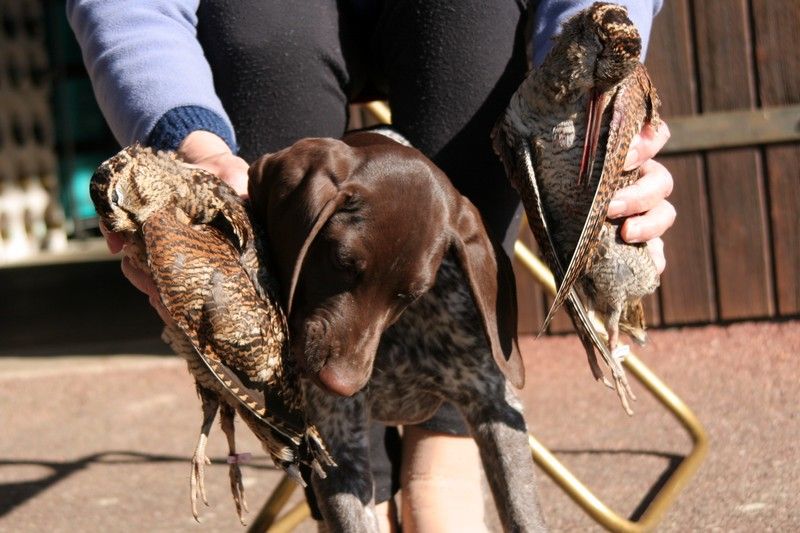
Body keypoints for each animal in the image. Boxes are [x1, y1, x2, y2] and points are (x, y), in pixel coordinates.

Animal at [250, 130, 548, 532]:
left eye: (412, 293)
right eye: (341, 262)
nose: (339, 384)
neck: (399, 335)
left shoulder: (496, 406)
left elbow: (522, 511)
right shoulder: (339, 440)